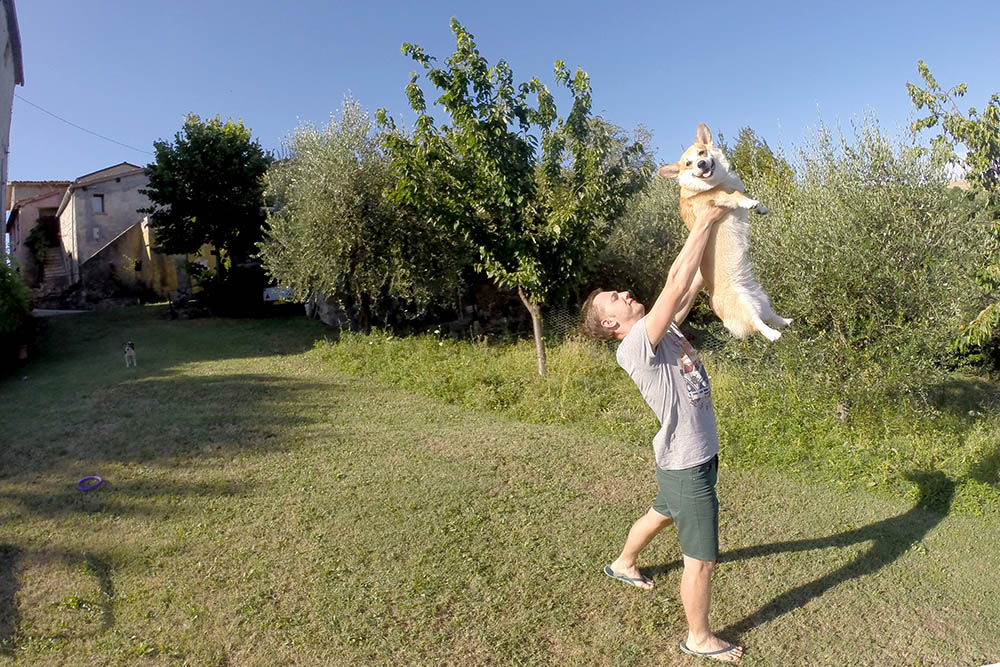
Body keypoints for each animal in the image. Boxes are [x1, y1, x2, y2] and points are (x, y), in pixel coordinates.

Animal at [660, 123, 792, 342]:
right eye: (688, 163)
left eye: (702, 152)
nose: (701, 164)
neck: (716, 181)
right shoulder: (717, 200)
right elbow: (736, 195)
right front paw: (750, 203)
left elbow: (744, 193)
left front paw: (760, 207)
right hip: (743, 304)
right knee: (757, 324)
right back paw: (773, 334)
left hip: (761, 298)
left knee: (769, 316)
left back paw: (785, 321)